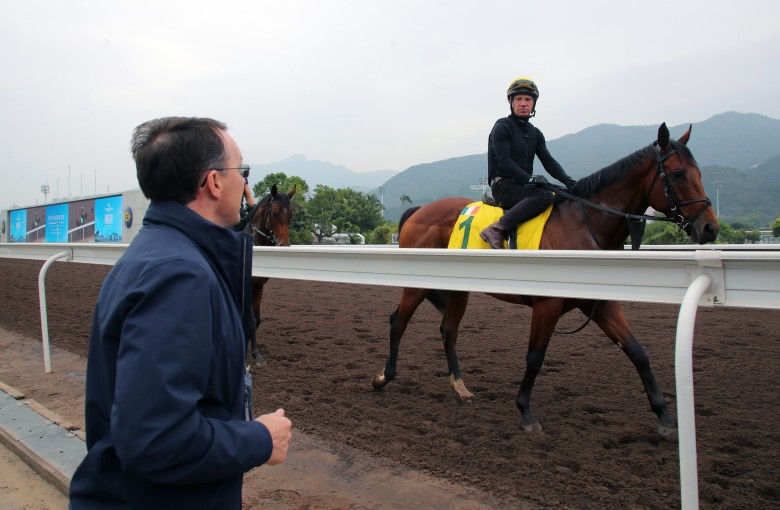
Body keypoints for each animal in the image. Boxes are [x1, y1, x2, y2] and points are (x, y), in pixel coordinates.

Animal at [241, 185, 296, 364]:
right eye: (275, 213)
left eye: (291, 215)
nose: (284, 245)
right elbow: (249, 320)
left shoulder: (259, 287)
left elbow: (256, 320)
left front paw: (255, 354)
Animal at [370, 123, 720, 438]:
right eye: (679, 174)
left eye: (700, 173)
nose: (710, 228)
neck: (584, 224)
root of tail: (417, 212)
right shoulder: (547, 303)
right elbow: (535, 357)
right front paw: (526, 412)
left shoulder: (602, 303)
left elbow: (638, 353)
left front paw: (664, 416)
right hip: (417, 284)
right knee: (398, 321)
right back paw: (383, 377)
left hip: (459, 289)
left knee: (448, 330)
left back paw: (460, 387)